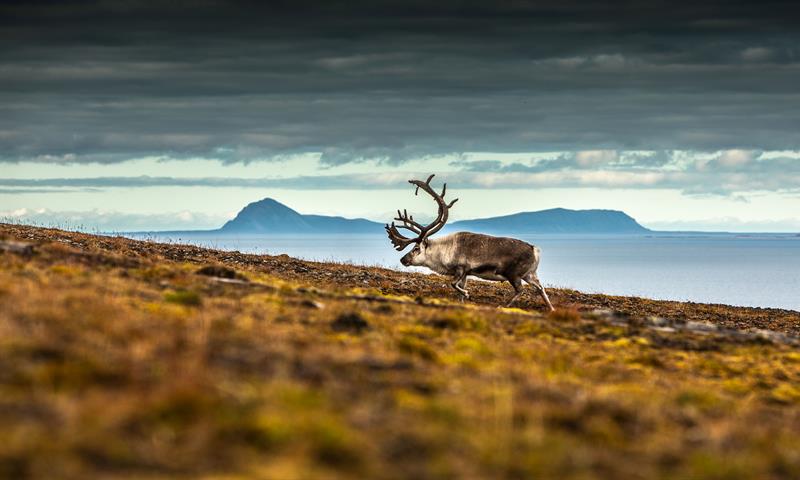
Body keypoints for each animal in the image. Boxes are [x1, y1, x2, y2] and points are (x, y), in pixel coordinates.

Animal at [386, 174, 554, 311]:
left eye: (415, 248)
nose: (403, 259)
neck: (444, 251)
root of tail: (534, 249)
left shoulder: (461, 268)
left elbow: (453, 284)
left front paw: (467, 294)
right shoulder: (465, 274)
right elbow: (458, 289)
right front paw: (462, 300)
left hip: (514, 274)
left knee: (521, 289)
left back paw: (504, 305)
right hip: (530, 274)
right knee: (540, 288)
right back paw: (551, 309)